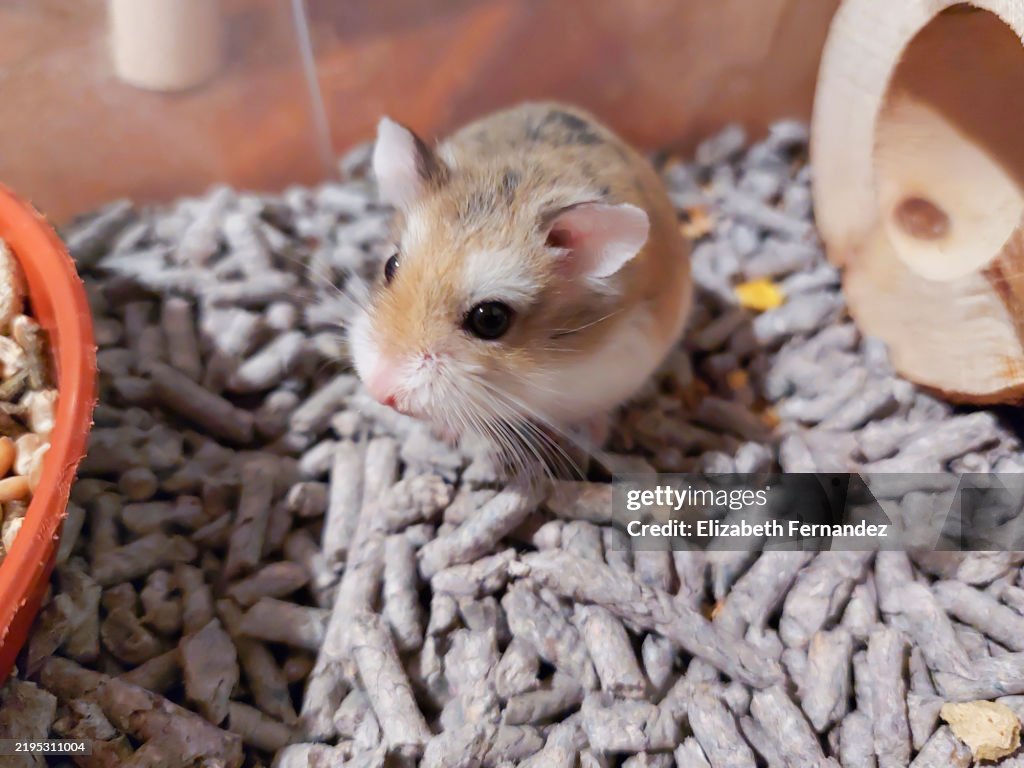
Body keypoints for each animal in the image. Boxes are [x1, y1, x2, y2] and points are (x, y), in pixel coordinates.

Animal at [350, 102, 692, 474]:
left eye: (490, 319)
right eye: (390, 266)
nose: (379, 391)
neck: (534, 379)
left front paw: (593, 439)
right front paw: (445, 432)